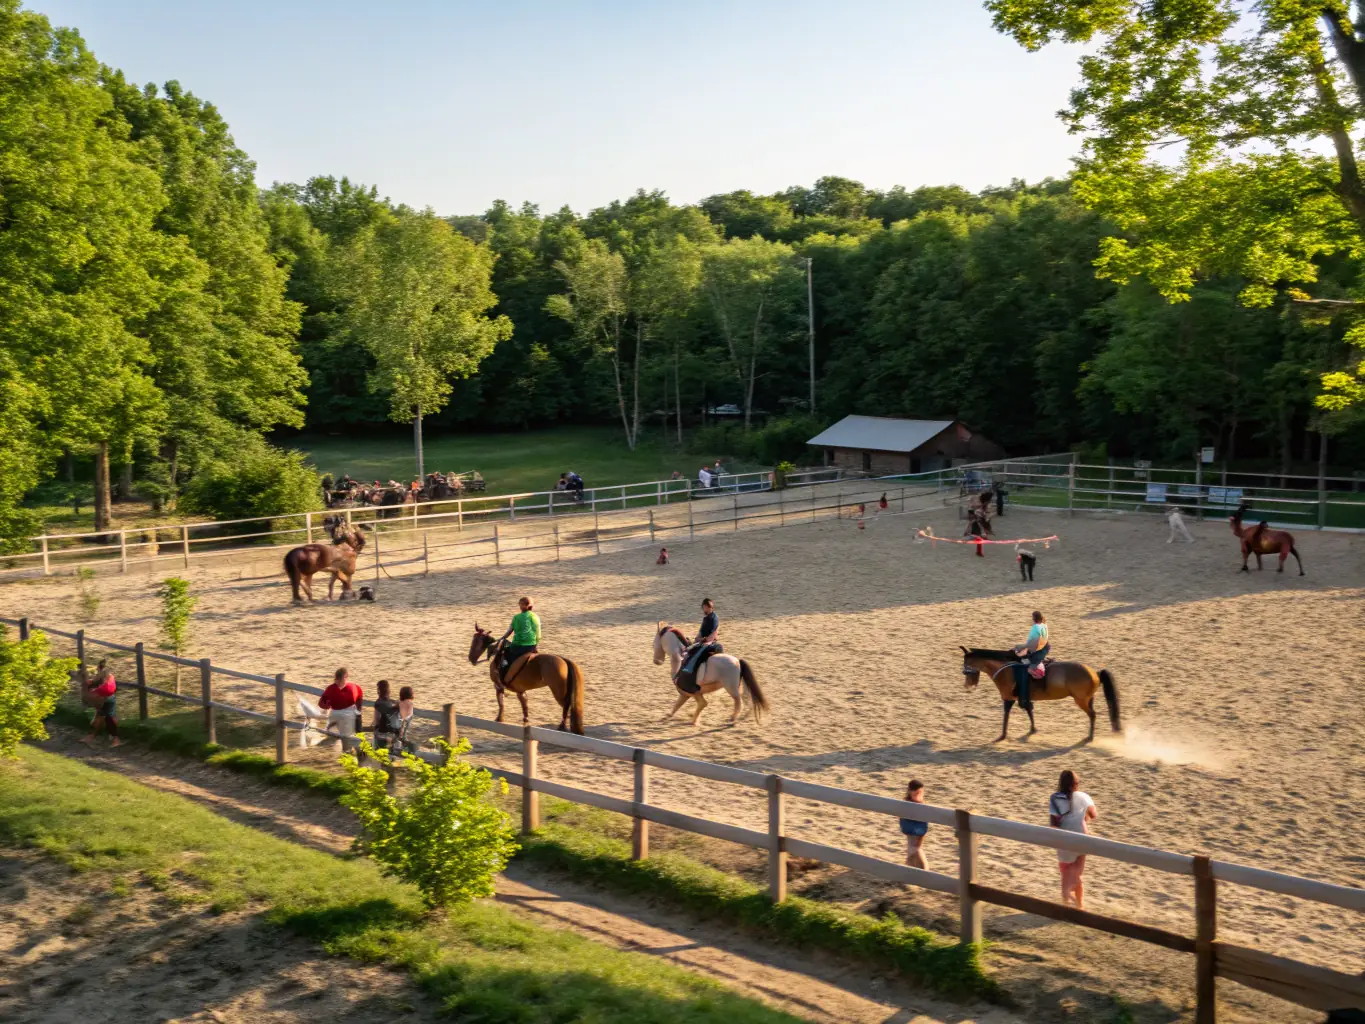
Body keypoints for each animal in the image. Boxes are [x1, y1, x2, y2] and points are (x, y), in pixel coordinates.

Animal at [960, 647, 1120, 743]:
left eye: (965, 667)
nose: (967, 686)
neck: (1006, 669)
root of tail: (1095, 673)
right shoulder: (1023, 698)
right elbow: (1029, 710)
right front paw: (1032, 729)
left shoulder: (1008, 698)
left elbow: (1006, 716)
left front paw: (1002, 736)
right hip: (1088, 699)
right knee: (1092, 715)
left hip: (1080, 701)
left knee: (1092, 715)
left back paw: (1090, 737)